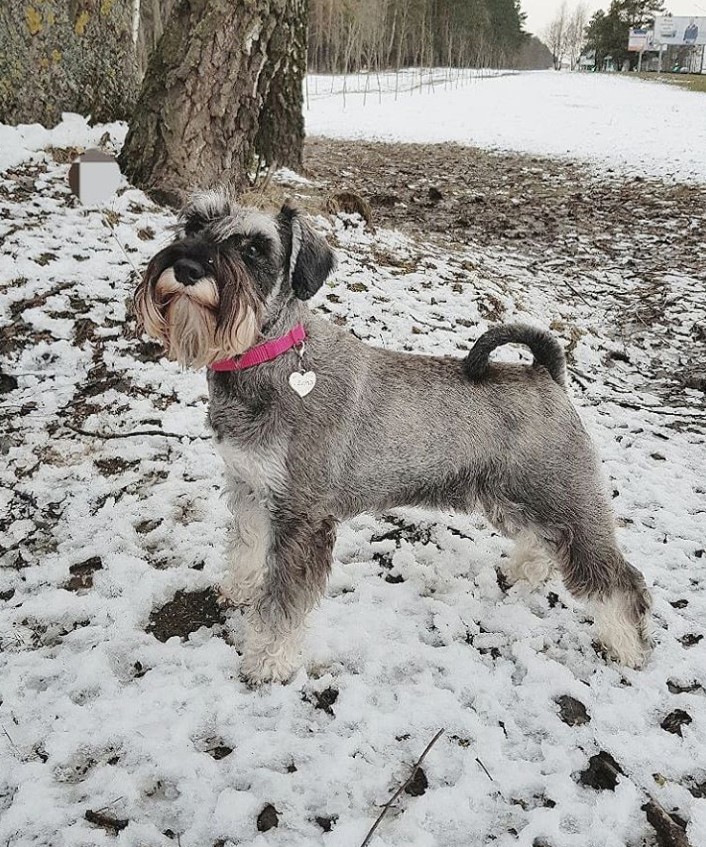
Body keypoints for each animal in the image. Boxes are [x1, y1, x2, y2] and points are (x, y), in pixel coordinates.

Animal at [135, 189, 652, 684]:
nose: (187, 267)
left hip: (564, 497)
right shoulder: (249, 487)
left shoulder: (301, 517)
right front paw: (238, 590)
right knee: (542, 540)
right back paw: (526, 570)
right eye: (195, 223)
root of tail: (548, 373)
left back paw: (626, 647)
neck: (267, 360)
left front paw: (266, 662)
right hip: (515, 495)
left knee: (620, 579)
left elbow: (283, 603)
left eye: (254, 249)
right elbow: (246, 547)